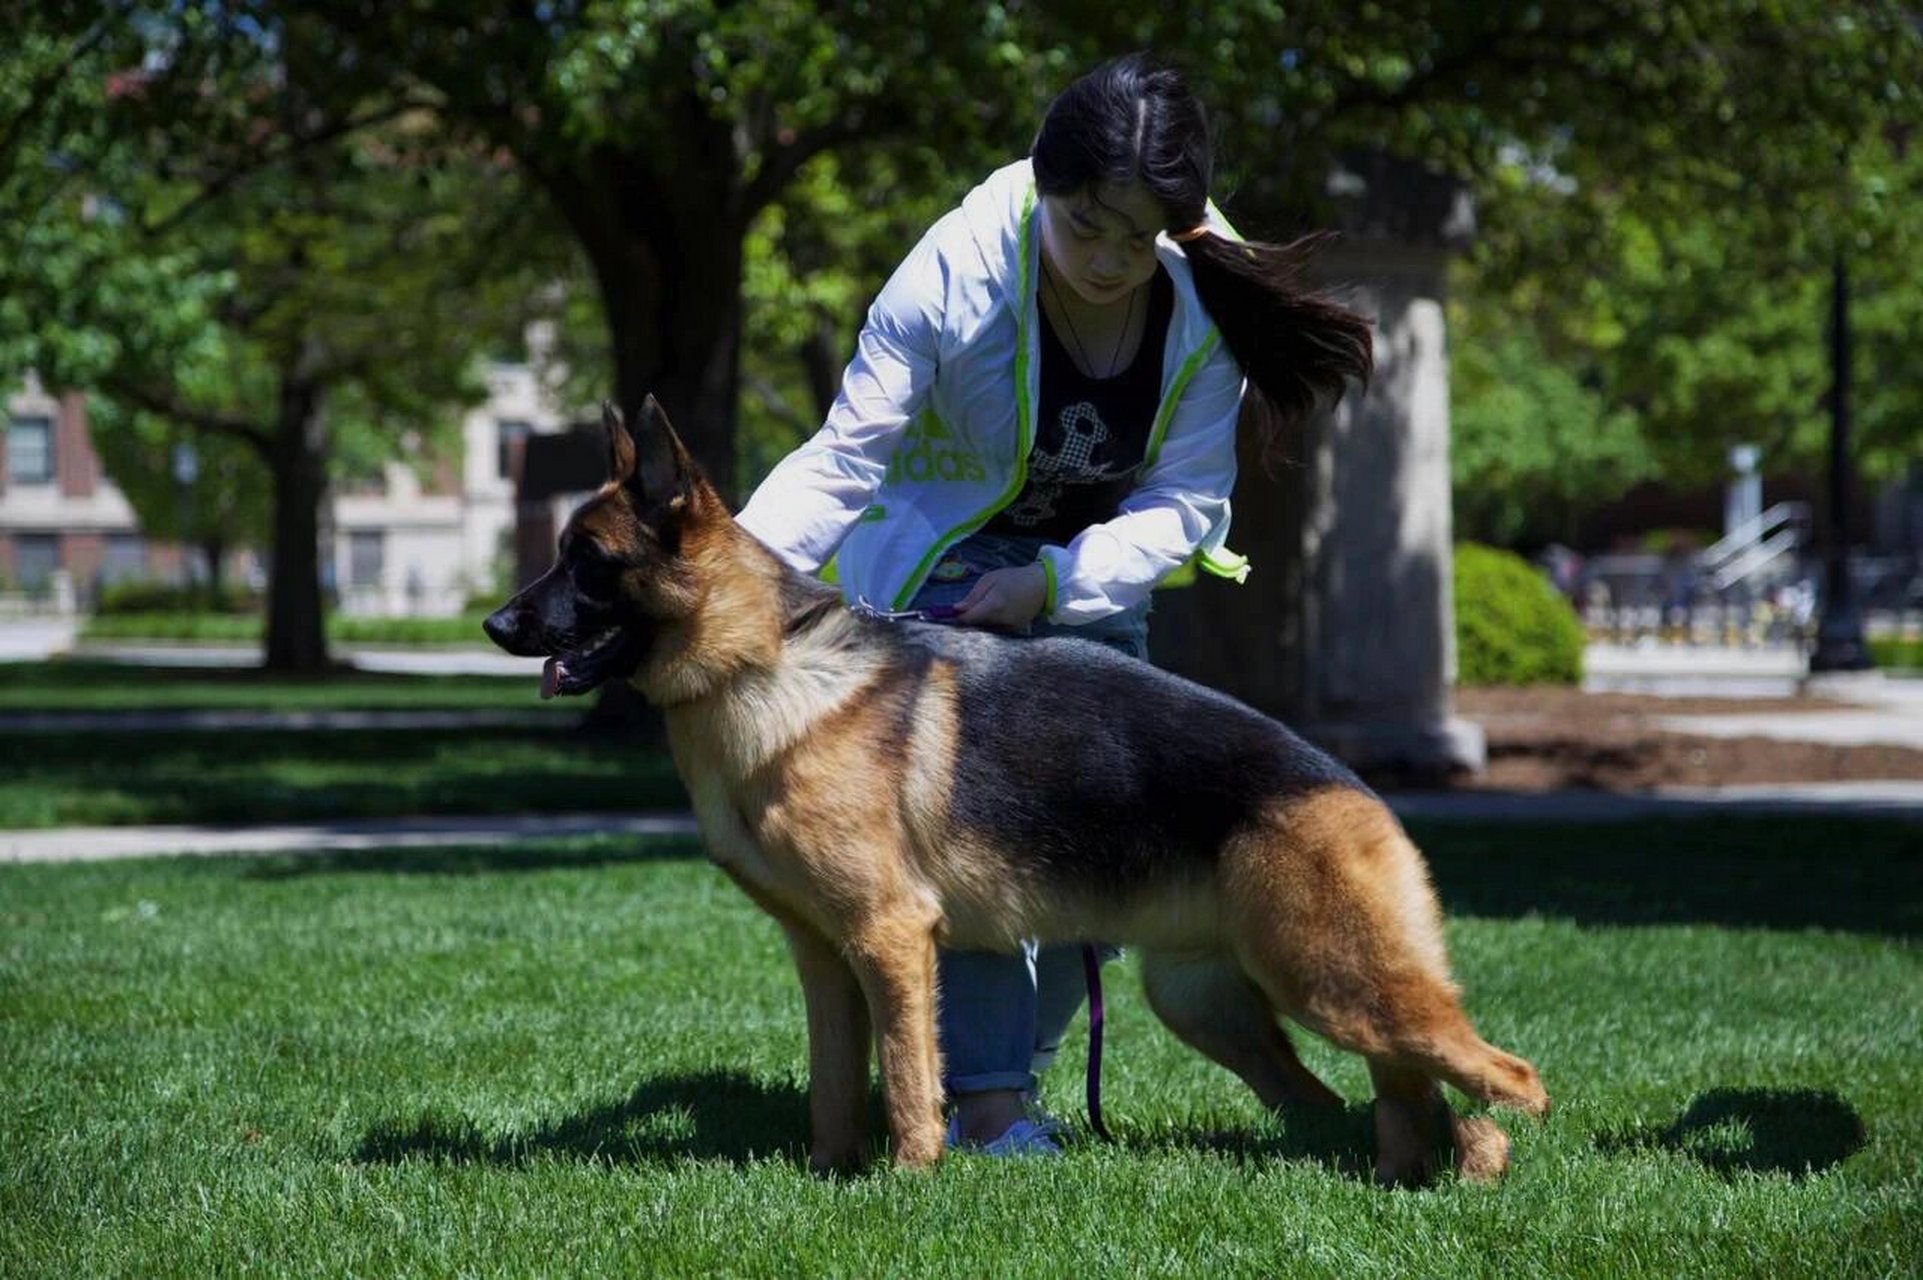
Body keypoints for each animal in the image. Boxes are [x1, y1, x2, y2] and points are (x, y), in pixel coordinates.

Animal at [480, 401, 1546, 1183]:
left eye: (588, 563)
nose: (493, 625)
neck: (760, 664)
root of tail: (1353, 787)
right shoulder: (824, 957)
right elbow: (834, 1084)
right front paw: (829, 1175)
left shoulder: (890, 939)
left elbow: (910, 1077)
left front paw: (909, 1184)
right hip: (1209, 1003)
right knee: (1357, 1102)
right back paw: (1375, 1172)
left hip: (1332, 983)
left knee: (1506, 1085)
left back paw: (1476, 1174)